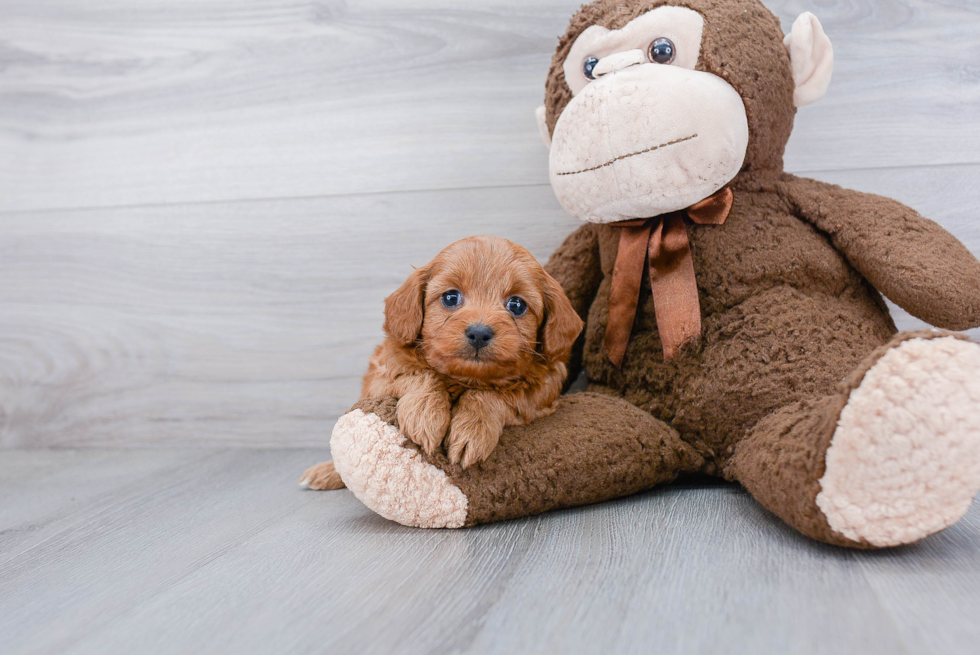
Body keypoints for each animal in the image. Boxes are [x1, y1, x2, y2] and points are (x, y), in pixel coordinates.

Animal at [298, 237, 580, 492]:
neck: (463, 377)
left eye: (517, 305)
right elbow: (421, 374)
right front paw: (425, 415)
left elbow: (496, 394)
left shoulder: (542, 391)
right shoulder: (383, 375)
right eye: (450, 298)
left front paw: (472, 429)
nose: (479, 333)